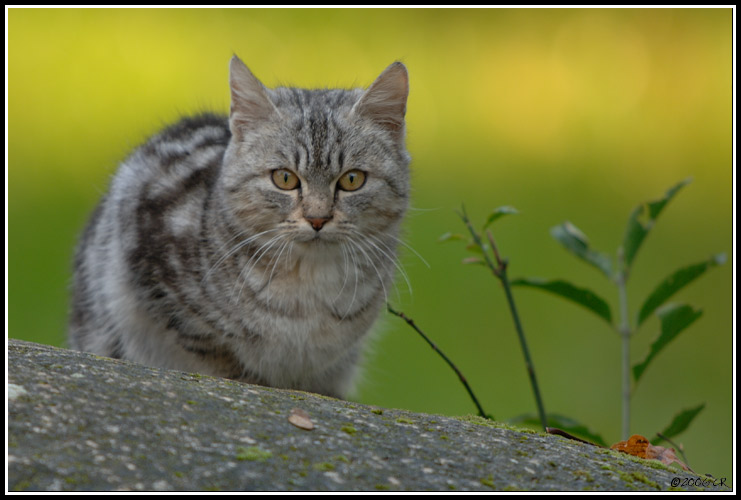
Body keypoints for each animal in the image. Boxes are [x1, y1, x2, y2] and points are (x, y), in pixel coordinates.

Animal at [68, 54, 410, 398]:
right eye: (284, 178)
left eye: (352, 180)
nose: (317, 218)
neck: (307, 288)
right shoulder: (156, 280)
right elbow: (216, 354)